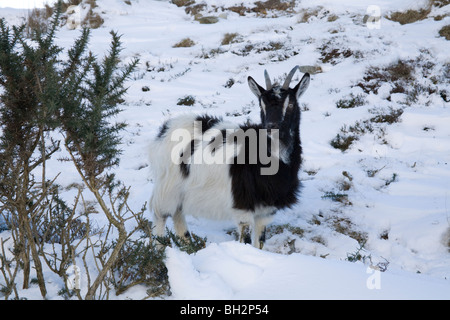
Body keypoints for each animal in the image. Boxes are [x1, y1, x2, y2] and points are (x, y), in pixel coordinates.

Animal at [149, 66, 312, 249]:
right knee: (160, 215)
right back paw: (160, 251)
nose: (271, 127)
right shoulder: (242, 206)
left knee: (178, 213)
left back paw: (188, 246)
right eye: (261, 104)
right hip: (168, 186)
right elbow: (246, 240)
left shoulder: (266, 211)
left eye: (290, 104)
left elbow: (260, 242)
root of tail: (166, 128)